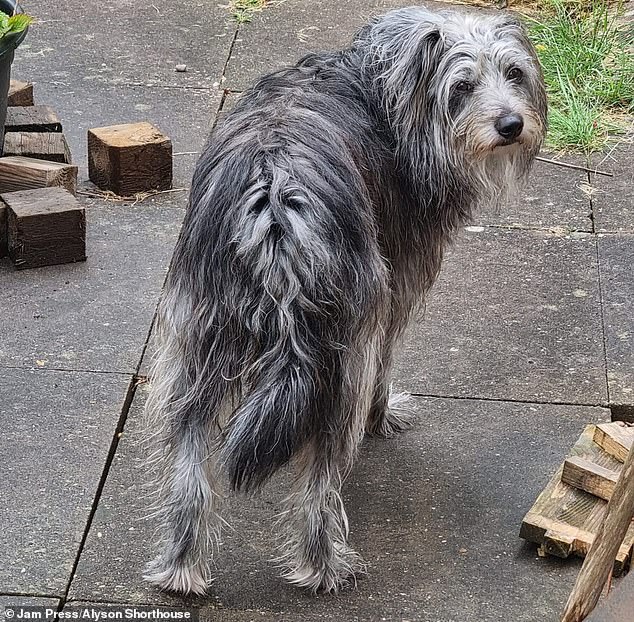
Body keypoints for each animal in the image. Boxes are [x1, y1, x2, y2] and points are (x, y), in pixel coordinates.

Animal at [143, 6, 544, 600]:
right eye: (463, 86)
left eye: (514, 73)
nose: (511, 125)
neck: (379, 87)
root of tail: (276, 201)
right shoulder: (394, 288)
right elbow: (386, 363)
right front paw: (383, 415)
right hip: (340, 353)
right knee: (319, 476)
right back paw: (323, 566)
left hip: (199, 338)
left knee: (190, 466)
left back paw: (181, 569)